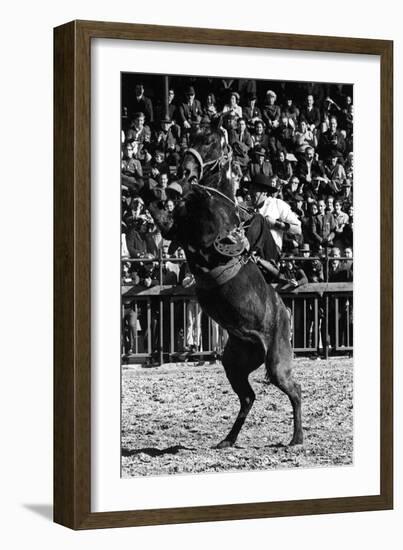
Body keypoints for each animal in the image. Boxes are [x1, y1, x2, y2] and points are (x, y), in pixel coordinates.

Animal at [140, 132, 302, 450]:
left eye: (211, 142)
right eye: (194, 136)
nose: (185, 170)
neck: (216, 203)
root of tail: (284, 309)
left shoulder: (200, 242)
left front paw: (170, 186)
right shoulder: (173, 230)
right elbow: (152, 201)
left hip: (277, 361)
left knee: (294, 390)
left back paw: (297, 438)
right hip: (234, 361)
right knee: (248, 397)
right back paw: (227, 440)